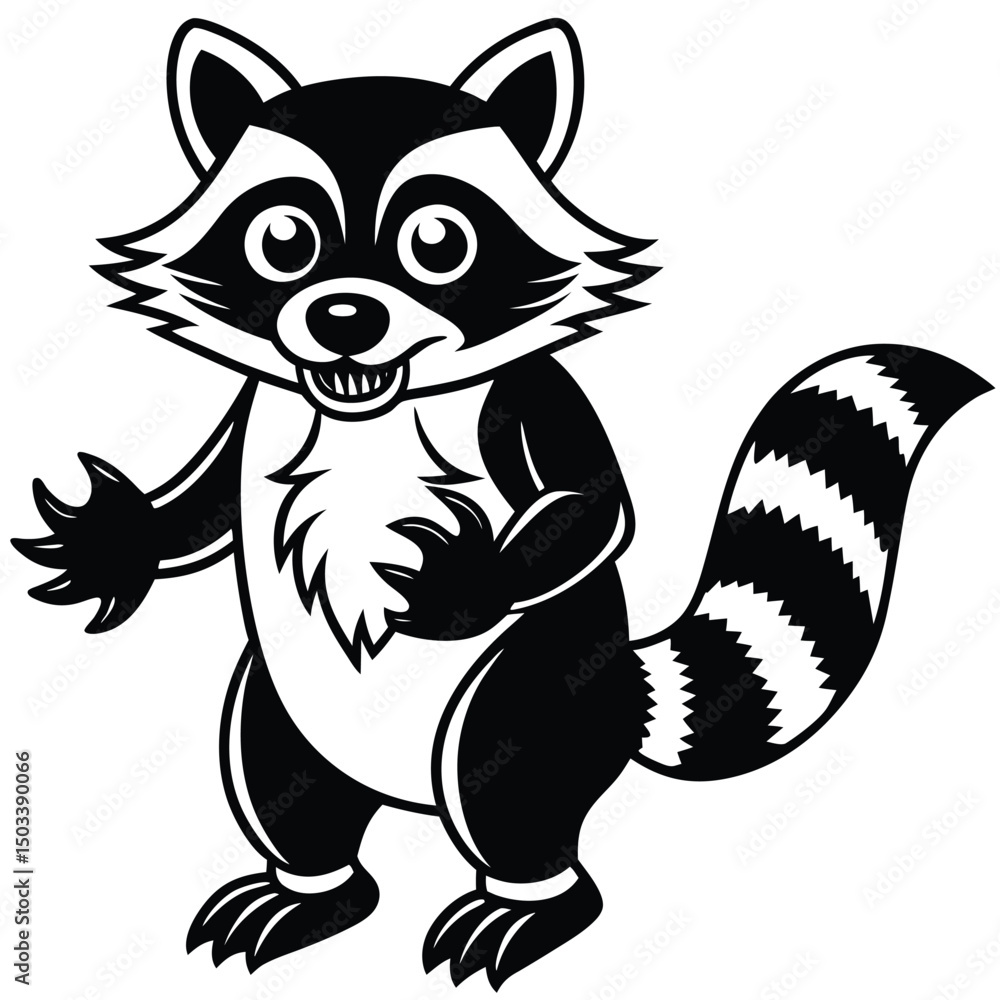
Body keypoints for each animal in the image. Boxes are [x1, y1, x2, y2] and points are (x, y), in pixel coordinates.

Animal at [13, 18, 990, 991]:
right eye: (282, 239)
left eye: (439, 242)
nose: (344, 318)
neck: (371, 401)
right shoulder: (264, 404)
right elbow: (210, 502)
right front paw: (123, 539)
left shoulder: (530, 395)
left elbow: (592, 506)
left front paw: (464, 581)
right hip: (285, 708)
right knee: (278, 777)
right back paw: (310, 889)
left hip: (531, 692)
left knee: (500, 789)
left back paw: (529, 903)